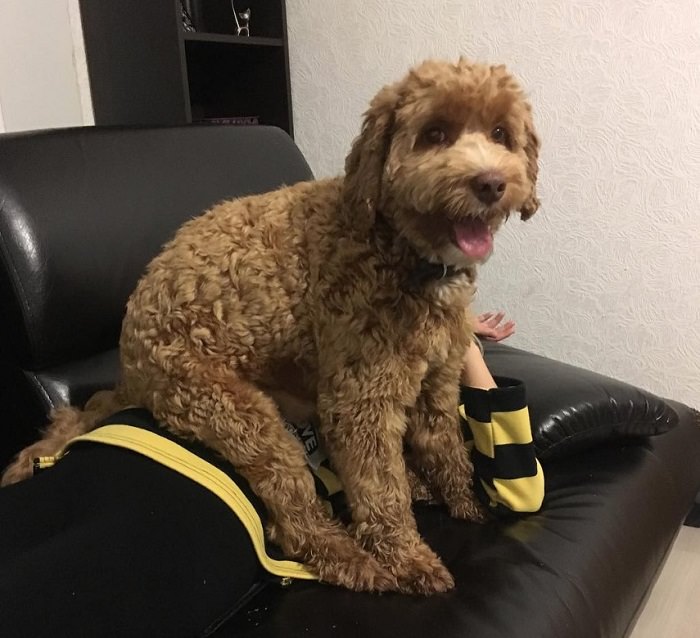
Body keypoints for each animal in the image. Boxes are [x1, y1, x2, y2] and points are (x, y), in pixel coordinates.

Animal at [2, 57, 540, 596]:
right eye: (434, 133)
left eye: (500, 132)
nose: (491, 183)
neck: (399, 248)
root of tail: (128, 365)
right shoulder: (361, 400)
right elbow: (380, 490)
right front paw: (408, 558)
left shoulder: (438, 382)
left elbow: (446, 448)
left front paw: (466, 504)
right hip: (232, 410)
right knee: (294, 519)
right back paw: (356, 562)